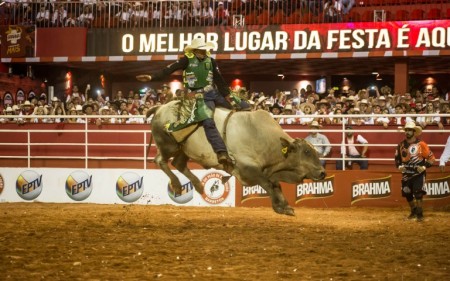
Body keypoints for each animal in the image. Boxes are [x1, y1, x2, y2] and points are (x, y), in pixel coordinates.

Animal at [149, 100, 326, 214]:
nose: (322, 172)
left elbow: (275, 185)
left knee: (178, 164)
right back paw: (177, 185)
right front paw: (280, 207)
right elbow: (269, 184)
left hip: (183, 150)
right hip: (168, 145)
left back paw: (198, 185)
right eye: (307, 152)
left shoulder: (267, 170)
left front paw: (285, 206)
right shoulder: (247, 168)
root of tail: (160, 107)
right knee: (160, 161)